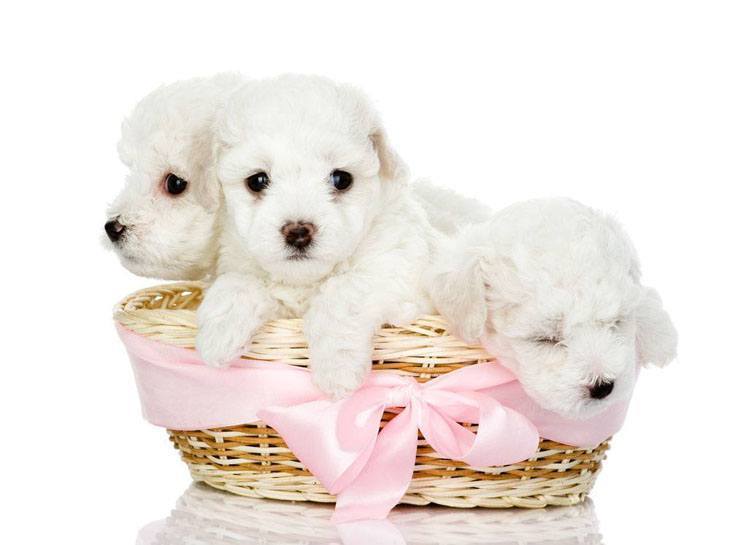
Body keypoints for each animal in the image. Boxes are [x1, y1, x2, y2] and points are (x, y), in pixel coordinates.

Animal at [196, 73, 436, 396]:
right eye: (257, 181)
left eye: (341, 179)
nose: (298, 232)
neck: (307, 280)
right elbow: (239, 282)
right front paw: (218, 334)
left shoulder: (396, 273)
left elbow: (343, 293)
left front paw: (338, 371)